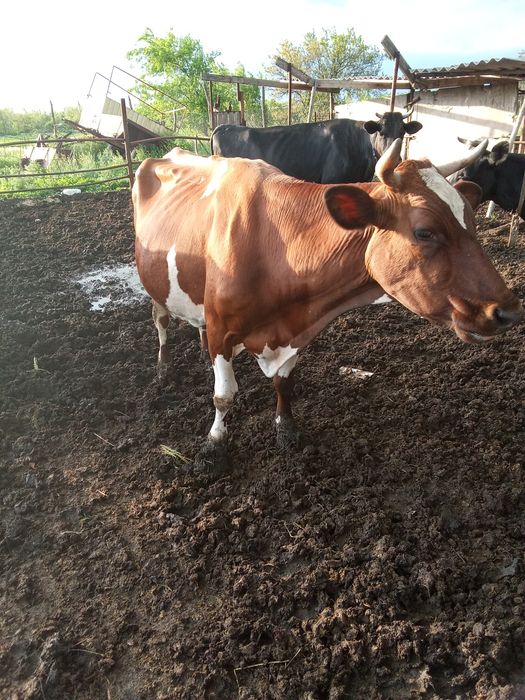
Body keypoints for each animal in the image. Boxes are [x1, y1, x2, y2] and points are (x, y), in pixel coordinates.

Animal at [133, 139, 523, 470]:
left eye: (471, 222)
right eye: (424, 231)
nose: (509, 311)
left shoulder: (291, 330)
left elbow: (284, 383)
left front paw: (286, 430)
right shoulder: (221, 327)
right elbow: (224, 396)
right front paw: (213, 447)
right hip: (153, 280)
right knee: (161, 319)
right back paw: (164, 368)